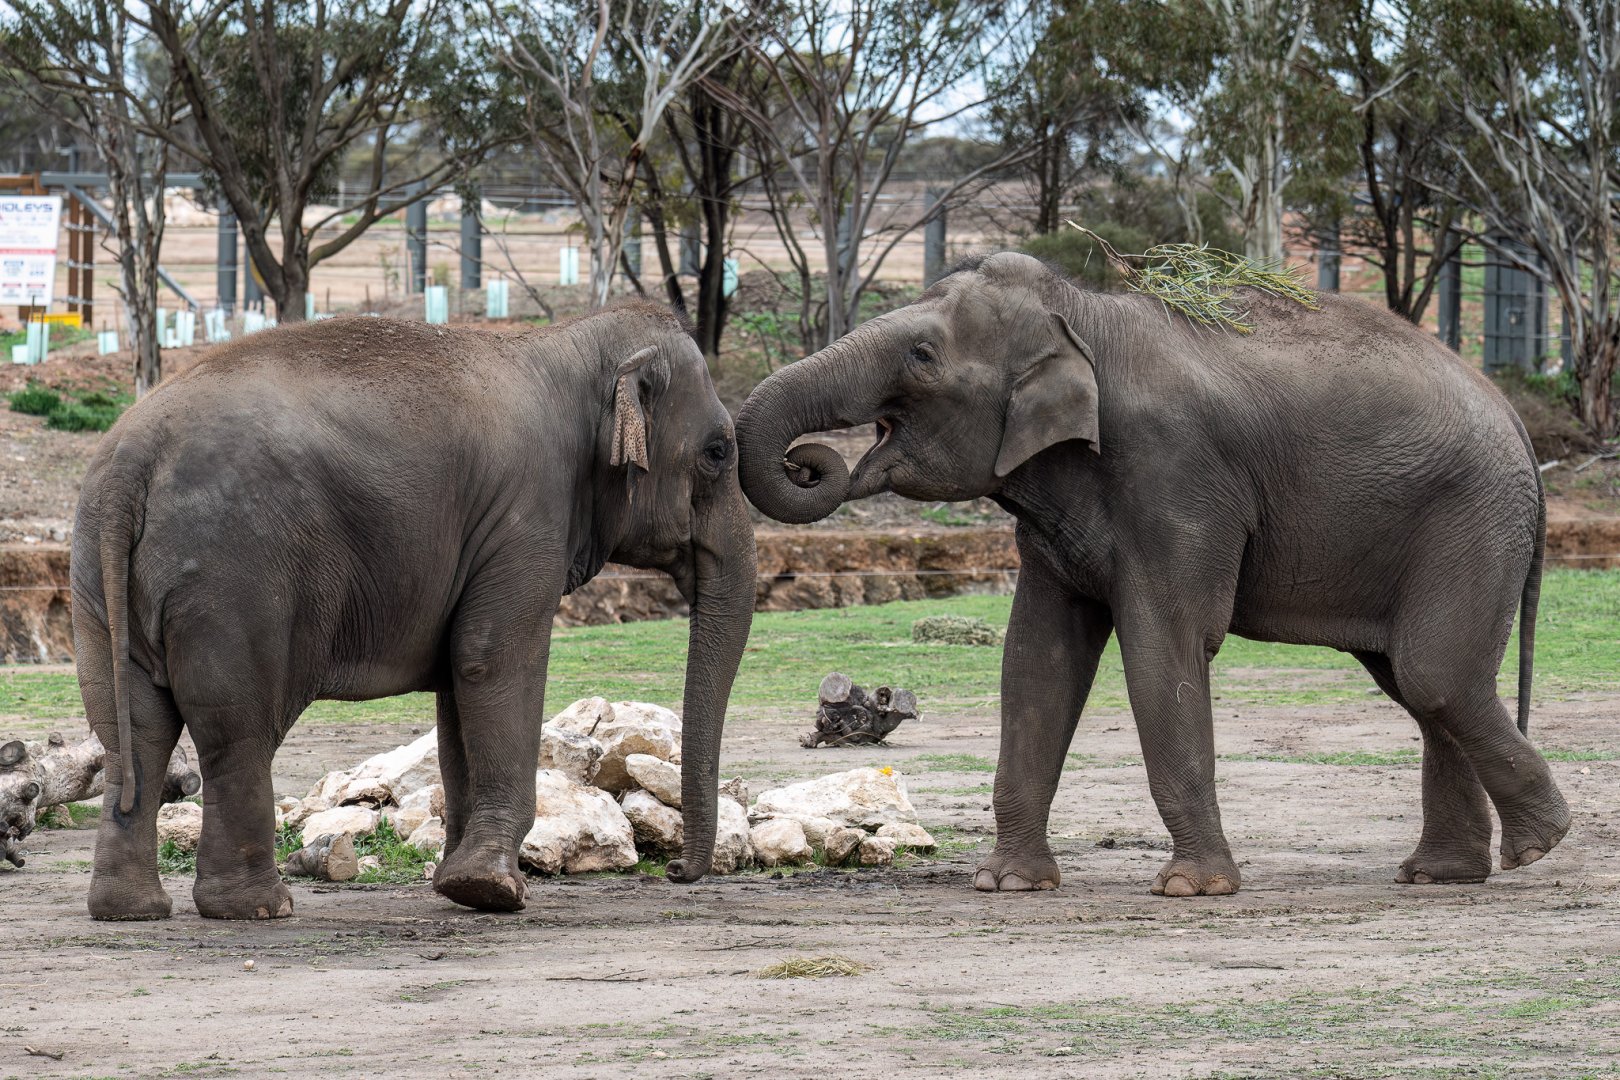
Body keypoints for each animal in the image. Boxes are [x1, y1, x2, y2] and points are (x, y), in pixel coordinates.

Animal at [73, 303, 754, 920]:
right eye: (718, 452)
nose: (675, 872)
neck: (569, 345)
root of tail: (133, 458)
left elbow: (459, 684)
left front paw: (459, 885)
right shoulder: (528, 510)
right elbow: (491, 661)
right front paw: (493, 891)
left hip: (100, 573)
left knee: (134, 731)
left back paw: (129, 910)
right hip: (232, 576)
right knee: (236, 731)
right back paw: (258, 908)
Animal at [735, 251, 1568, 897]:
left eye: (921, 355)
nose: (809, 460)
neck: (1082, 319)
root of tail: (1518, 425)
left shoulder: (1177, 481)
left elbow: (1162, 647)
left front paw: (1191, 889)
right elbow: (1037, 662)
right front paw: (1007, 883)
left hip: (1468, 519)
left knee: (1434, 675)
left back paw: (1540, 845)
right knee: (1419, 683)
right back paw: (1446, 874)